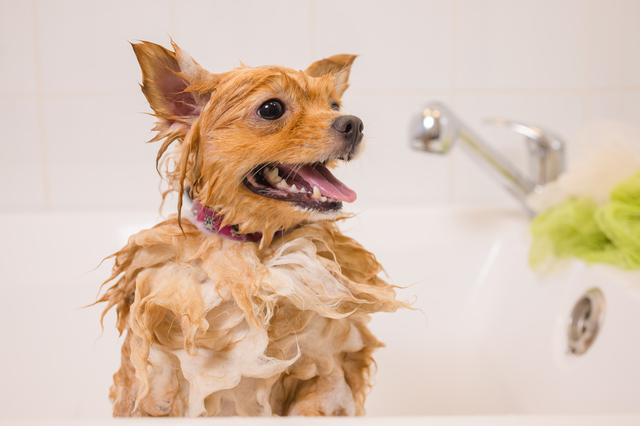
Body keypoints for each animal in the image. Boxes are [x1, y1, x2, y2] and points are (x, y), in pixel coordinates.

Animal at [97, 41, 402, 418]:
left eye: (334, 105)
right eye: (271, 108)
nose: (354, 123)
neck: (252, 253)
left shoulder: (327, 370)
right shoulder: (156, 384)